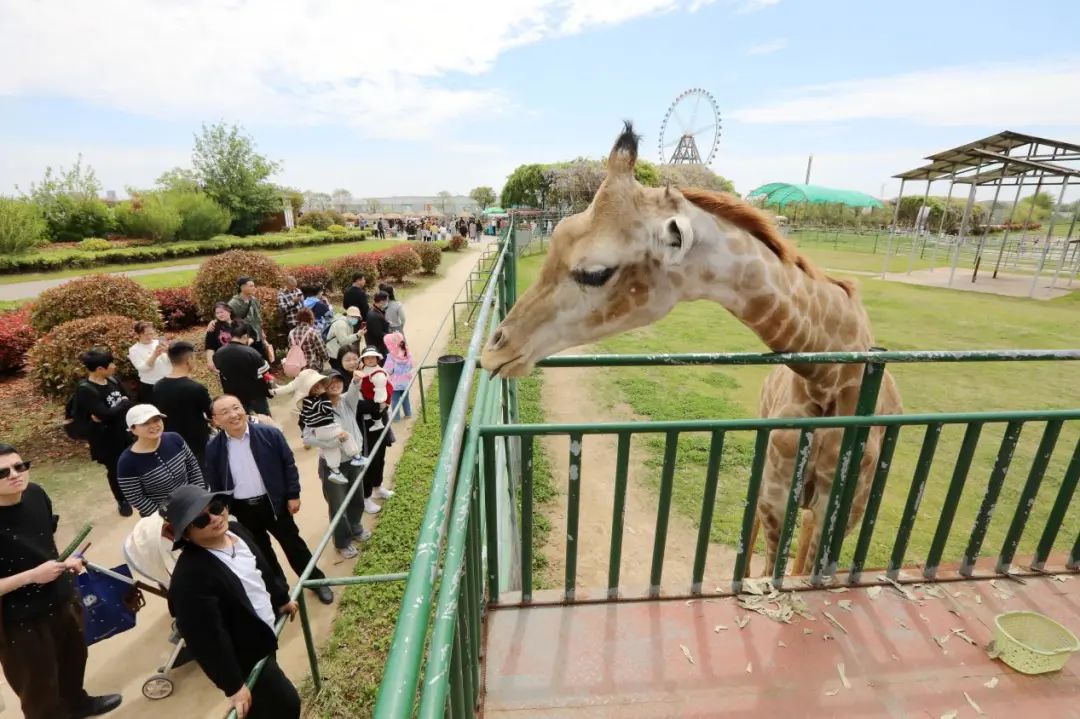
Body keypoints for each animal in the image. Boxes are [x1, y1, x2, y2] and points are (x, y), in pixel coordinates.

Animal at [480, 122, 902, 578]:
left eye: (595, 272)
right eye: (554, 237)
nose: (495, 350)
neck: (831, 375)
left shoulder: (842, 510)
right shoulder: (778, 492)